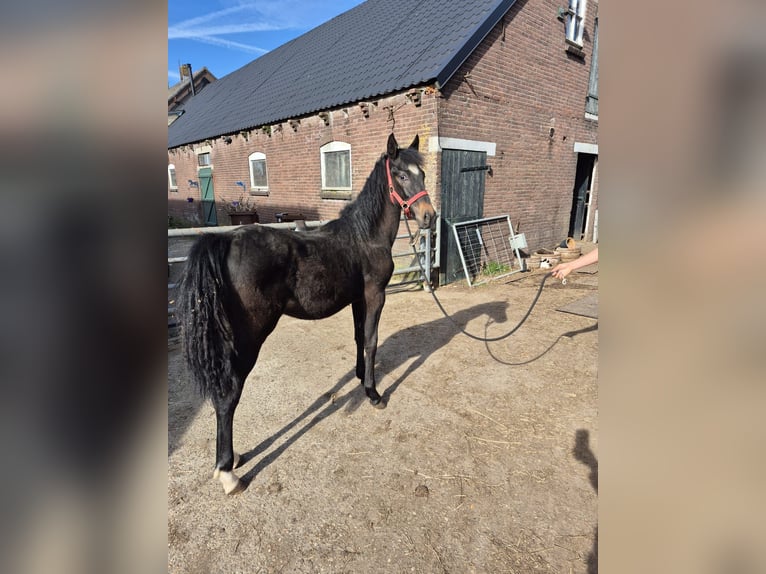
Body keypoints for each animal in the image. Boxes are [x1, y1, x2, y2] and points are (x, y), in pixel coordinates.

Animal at [178, 134, 436, 494]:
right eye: (400, 175)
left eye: (422, 174)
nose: (429, 216)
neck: (364, 237)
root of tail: (225, 241)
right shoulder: (375, 295)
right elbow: (371, 340)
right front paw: (373, 394)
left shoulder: (358, 299)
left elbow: (359, 338)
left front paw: (361, 378)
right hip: (250, 338)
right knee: (228, 393)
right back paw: (228, 472)